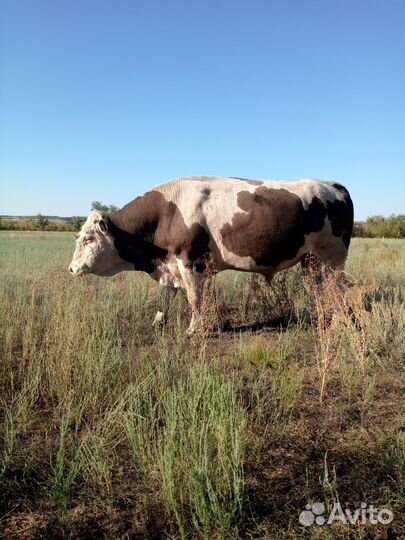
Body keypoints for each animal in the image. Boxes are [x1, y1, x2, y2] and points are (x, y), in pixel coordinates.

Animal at [69, 176, 354, 334]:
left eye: (89, 238)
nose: (71, 269)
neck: (167, 213)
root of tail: (333, 185)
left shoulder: (191, 262)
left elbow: (194, 299)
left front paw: (193, 329)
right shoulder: (170, 267)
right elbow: (165, 297)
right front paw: (159, 321)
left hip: (334, 257)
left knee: (337, 289)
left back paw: (337, 322)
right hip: (310, 259)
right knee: (315, 288)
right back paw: (307, 318)